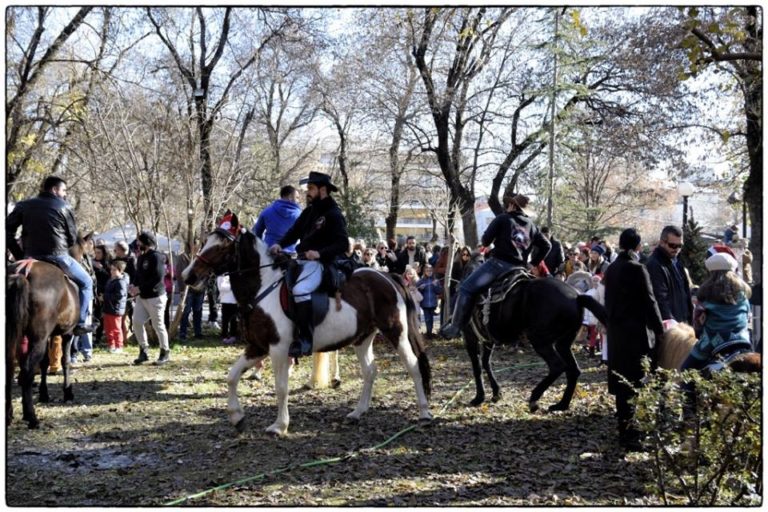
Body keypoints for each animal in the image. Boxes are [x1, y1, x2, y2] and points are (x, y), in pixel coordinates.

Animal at [6, 260, 79, 428]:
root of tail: (23, 271)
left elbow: (45, 362)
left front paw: (44, 393)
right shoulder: (67, 333)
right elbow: (65, 361)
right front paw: (67, 392)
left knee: (10, 369)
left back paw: (9, 415)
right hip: (38, 338)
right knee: (27, 371)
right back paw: (31, 417)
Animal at [462, 276, 608, 412]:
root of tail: (576, 296)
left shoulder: (470, 336)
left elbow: (477, 367)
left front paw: (479, 397)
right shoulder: (488, 339)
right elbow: (486, 363)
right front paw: (496, 392)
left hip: (539, 340)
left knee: (557, 366)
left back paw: (534, 398)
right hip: (563, 343)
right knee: (573, 371)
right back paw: (561, 405)